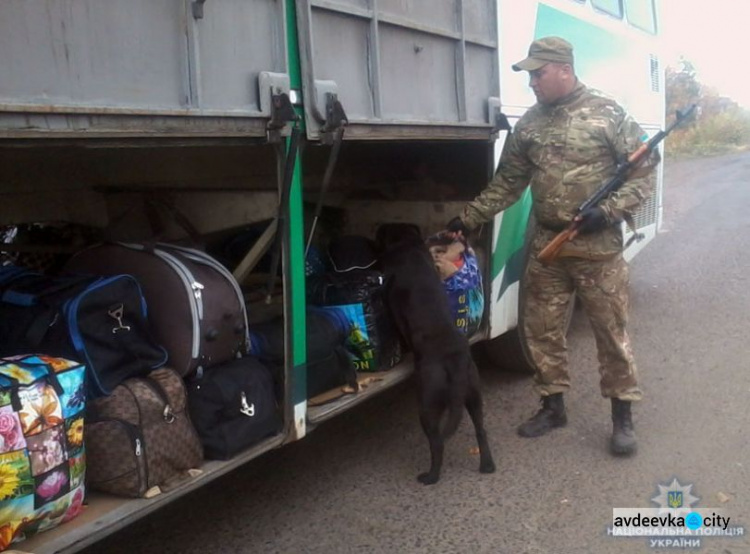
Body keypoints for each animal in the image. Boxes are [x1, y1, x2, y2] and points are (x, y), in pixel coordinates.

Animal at [378, 222, 496, 480]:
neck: (408, 247)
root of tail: (456, 359)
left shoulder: (395, 307)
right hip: (473, 395)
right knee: (481, 430)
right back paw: (487, 465)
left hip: (427, 403)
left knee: (437, 442)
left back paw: (430, 476)